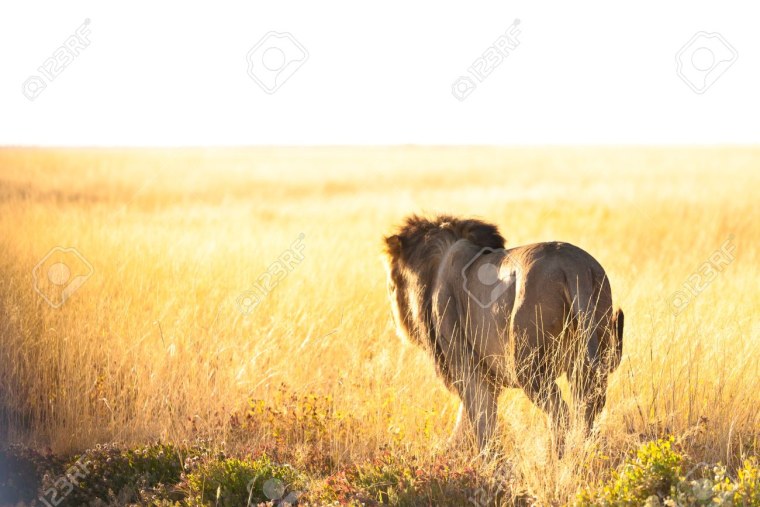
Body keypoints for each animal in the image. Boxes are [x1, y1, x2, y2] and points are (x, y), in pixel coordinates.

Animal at [383, 214, 624, 451]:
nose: (394, 320)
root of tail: (573, 266)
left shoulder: (467, 367)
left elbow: (482, 421)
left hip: (528, 366)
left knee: (560, 412)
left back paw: (557, 456)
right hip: (588, 354)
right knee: (587, 409)